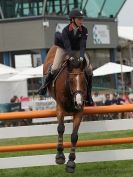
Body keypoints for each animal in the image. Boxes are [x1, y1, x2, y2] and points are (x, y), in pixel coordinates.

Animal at [42, 44, 88, 173]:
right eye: (71, 81)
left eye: (84, 80)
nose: (78, 102)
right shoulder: (60, 108)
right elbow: (61, 128)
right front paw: (60, 156)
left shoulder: (79, 112)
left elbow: (74, 136)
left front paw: (71, 162)